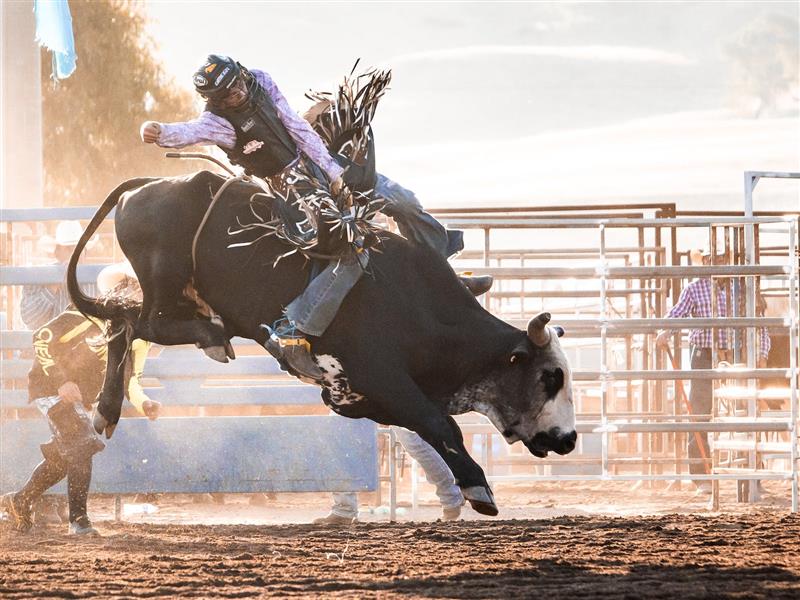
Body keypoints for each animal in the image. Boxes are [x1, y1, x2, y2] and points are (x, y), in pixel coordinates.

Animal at [67, 171, 577, 516]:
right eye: (549, 377)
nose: (569, 439)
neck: (423, 308)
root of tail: (149, 186)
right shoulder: (382, 375)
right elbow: (441, 425)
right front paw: (478, 488)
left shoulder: (363, 397)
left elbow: (426, 429)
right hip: (165, 285)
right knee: (132, 322)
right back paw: (197, 343)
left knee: (122, 323)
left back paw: (108, 410)